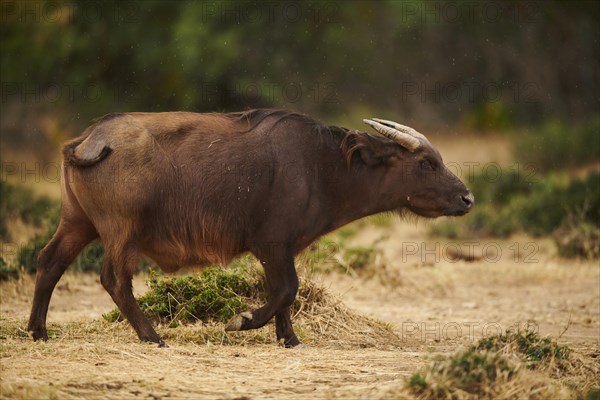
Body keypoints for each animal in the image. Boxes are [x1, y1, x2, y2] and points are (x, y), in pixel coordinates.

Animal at [28, 109, 474, 346]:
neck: (322, 167)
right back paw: (151, 335)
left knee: (49, 262)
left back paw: (37, 330)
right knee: (114, 279)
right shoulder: (271, 245)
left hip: (77, 224)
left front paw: (289, 338)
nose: (467, 198)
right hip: (121, 232)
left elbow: (284, 293)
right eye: (426, 163)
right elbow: (287, 289)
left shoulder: (281, 250)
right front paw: (242, 321)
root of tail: (90, 139)